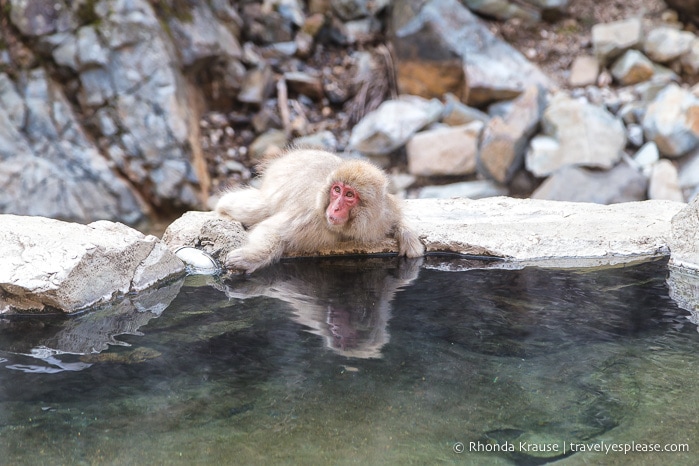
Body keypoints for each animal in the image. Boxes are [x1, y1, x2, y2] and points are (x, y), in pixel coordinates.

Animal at [216, 149, 424, 274]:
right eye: (337, 190)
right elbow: (272, 229)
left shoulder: (382, 214)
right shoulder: (310, 217)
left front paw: (409, 237)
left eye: (349, 194)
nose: (335, 207)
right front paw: (250, 258)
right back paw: (223, 208)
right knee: (260, 207)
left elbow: (397, 218)